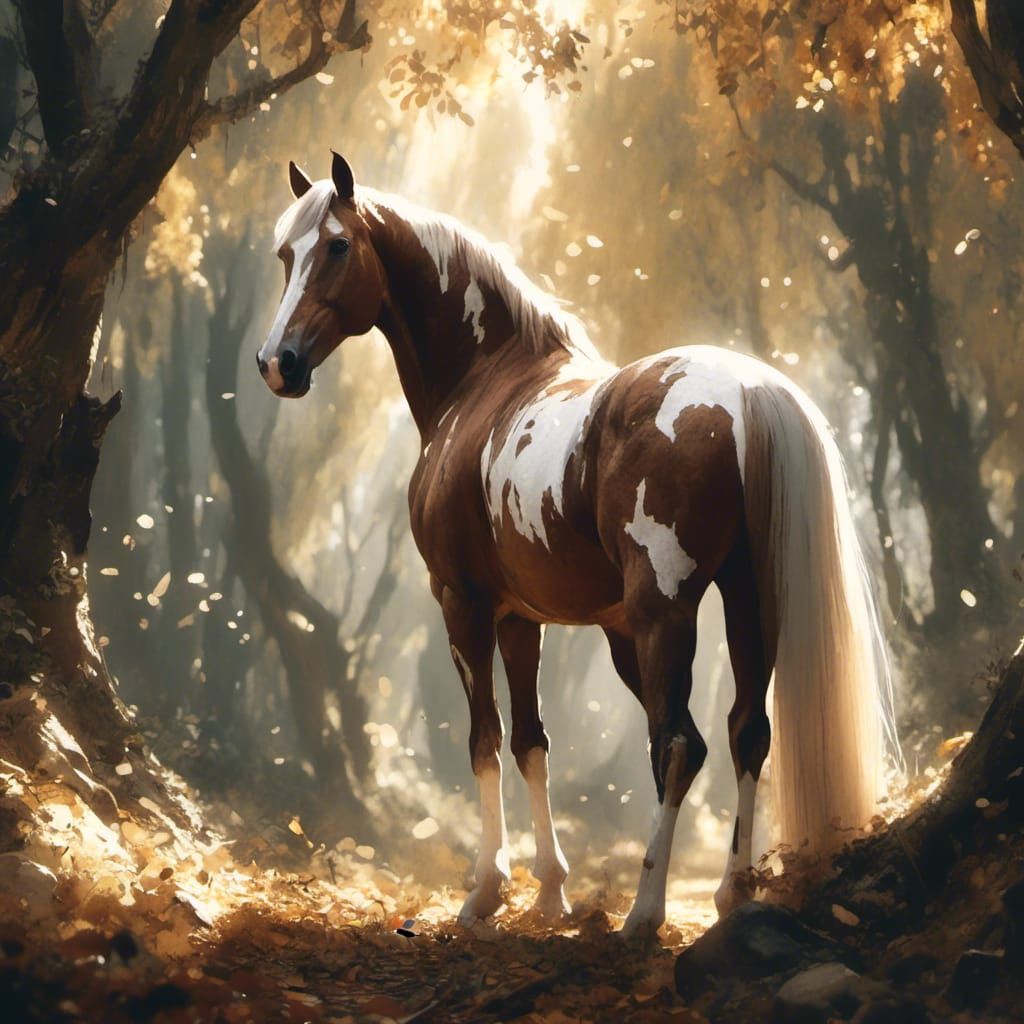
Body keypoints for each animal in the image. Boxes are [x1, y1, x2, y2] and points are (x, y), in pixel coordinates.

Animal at [257, 151, 898, 937]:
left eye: (338, 247)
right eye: (286, 255)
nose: (278, 363)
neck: (484, 382)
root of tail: (748, 394)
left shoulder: (462, 603)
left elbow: (484, 740)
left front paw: (486, 893)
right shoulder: (519, 617)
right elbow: (532, 741)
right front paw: (550, 893)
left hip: (662, 617)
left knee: (679, 743)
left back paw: (646, 911)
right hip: (748, 603)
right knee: (746, 731)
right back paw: (731, 896)